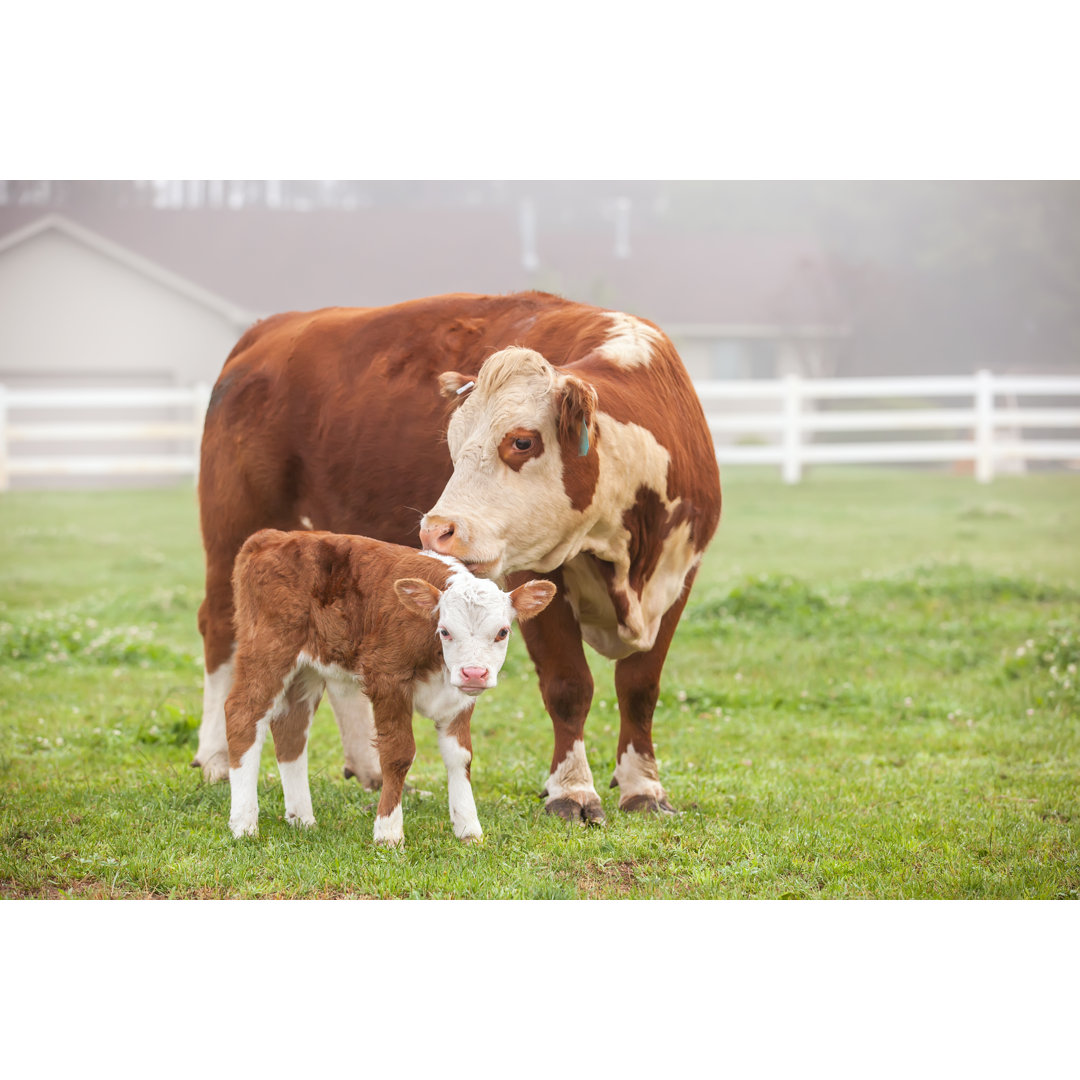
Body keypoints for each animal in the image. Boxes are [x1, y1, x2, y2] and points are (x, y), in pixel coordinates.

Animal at [223, 529, 552, 842]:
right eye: (445, 631)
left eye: (502, 632)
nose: (474, 673)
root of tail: (273, 536)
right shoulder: (387, 678)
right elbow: (398, 754)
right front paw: (389, 832)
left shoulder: (459, 698)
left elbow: (461, 757)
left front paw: (468, 829)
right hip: (268, 649)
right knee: (242, 715)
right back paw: (244, 824)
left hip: (307, 670)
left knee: (291, 728)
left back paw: (302, 819)